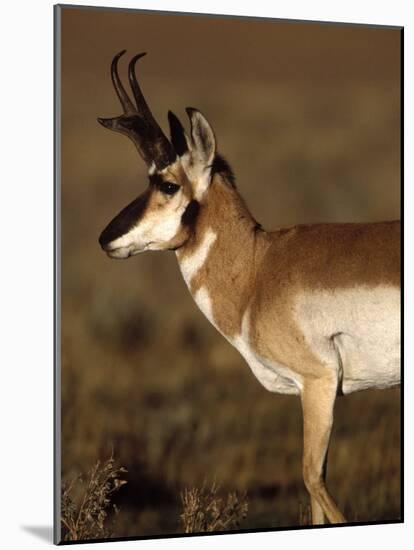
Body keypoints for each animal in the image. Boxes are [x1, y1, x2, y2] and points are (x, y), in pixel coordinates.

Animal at [98, 50, 402, 528]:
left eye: (168, 184)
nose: (105, 239)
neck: (260, 267)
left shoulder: (318, 384)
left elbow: (313, 479)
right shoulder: (310, 393)